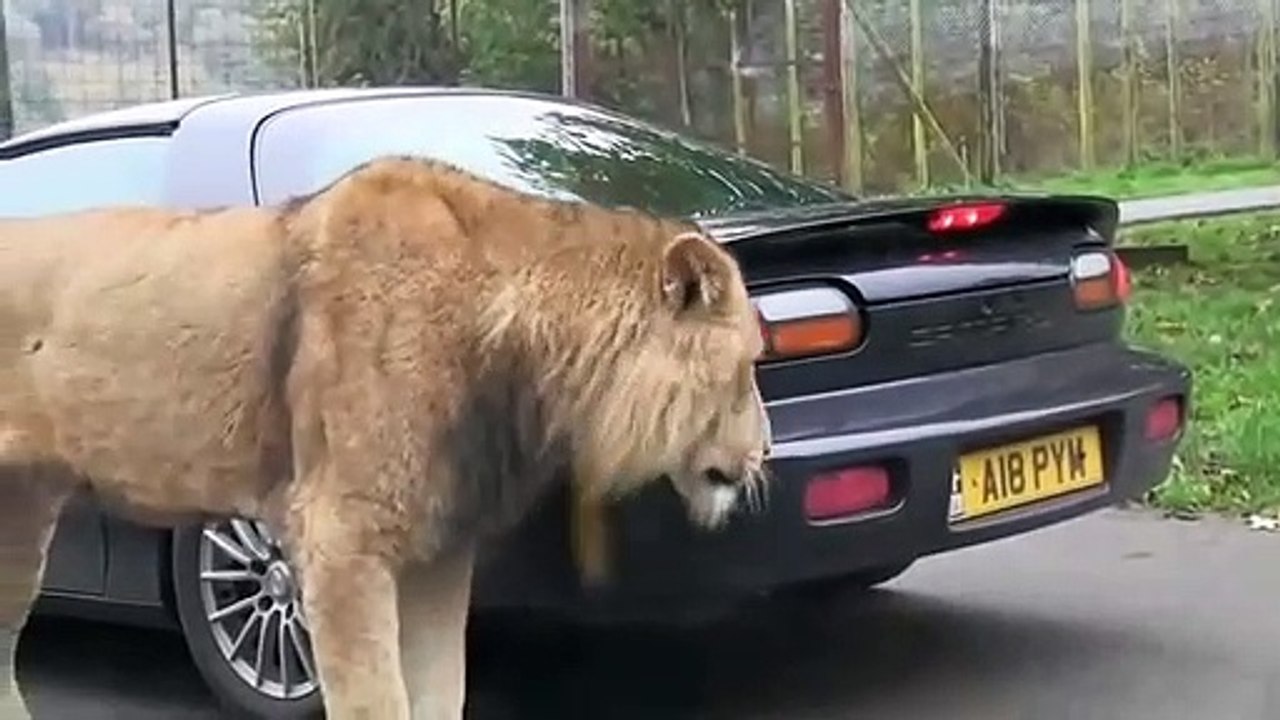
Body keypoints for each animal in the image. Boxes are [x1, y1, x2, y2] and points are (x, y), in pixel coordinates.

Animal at [0, 155, 772, 719]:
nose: (764, 454)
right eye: (750, 363)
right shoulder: (341, 541)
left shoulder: (437, 551)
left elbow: (440, 694)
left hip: (23, 514)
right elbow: (376, 701)